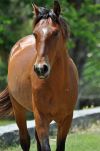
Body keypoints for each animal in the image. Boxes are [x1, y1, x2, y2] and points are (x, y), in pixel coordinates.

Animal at [0, 1, 78, 151]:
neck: (57, 86)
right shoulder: (41, 118)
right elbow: (45, 146)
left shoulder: (66, 119)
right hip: (18, 109)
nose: (41, 69)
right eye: (35, 34)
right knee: (25, 140)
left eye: (56, 33)